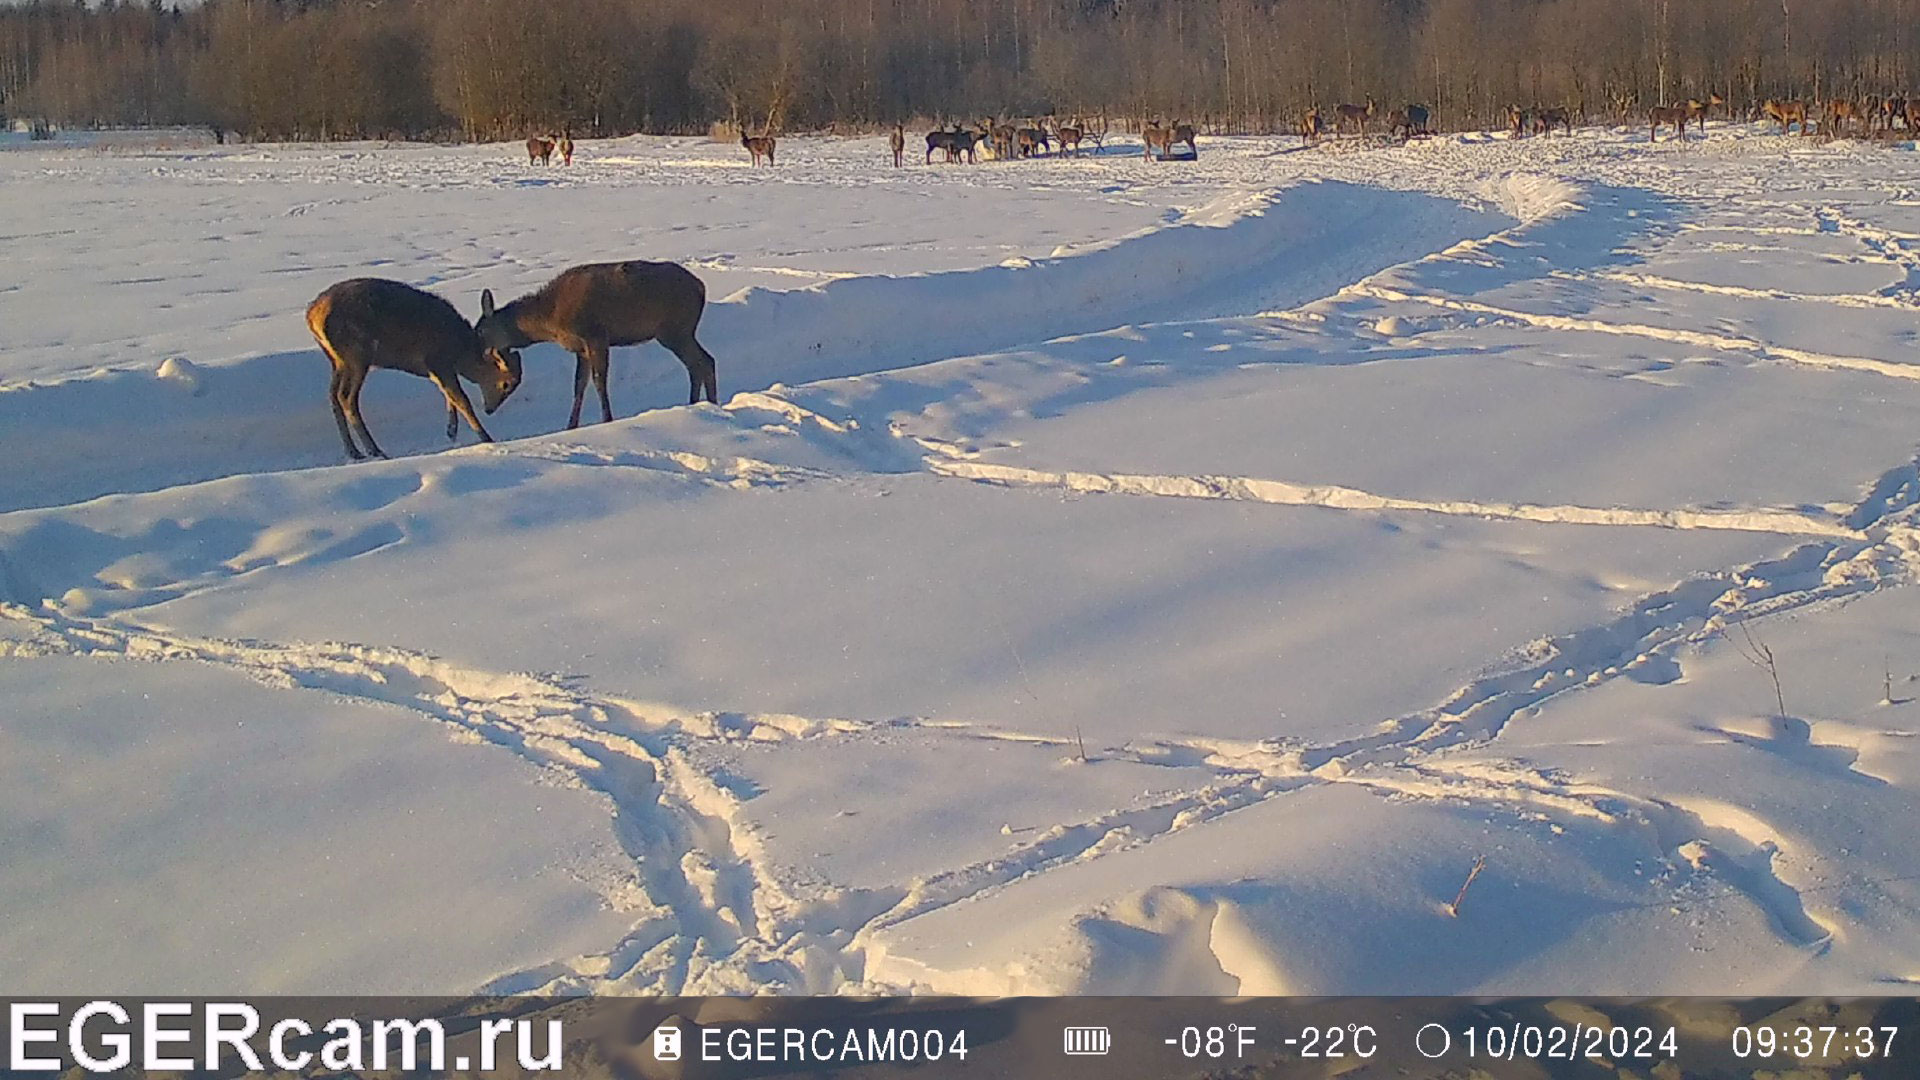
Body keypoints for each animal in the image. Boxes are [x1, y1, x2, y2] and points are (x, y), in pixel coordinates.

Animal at [305, 276, 522, 457]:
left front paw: (451, 431)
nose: (490, 409)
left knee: (333, 395)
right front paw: (486, 438)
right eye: (507, 383)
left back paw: (353, 451)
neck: (460, 353)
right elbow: (461, 399)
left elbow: (448, 395)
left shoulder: (437, 369)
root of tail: (311, 315)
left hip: (337, 360)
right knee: (346, 397)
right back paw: (374, 450)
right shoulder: (437, 360)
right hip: (356, 355)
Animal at [474, 261, 721, 424]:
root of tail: (701, 287)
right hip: (679, 332)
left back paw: (708, 404)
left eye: (481, 331)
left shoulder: (596, 336)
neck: (550, 319)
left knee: (702, 362)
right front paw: (571, 425)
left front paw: (607, 420)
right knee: (702, 362)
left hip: (675, 330)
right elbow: (578, 385)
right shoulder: (580, 348)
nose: (479, 352)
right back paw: (700, 404)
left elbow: (599, 381)